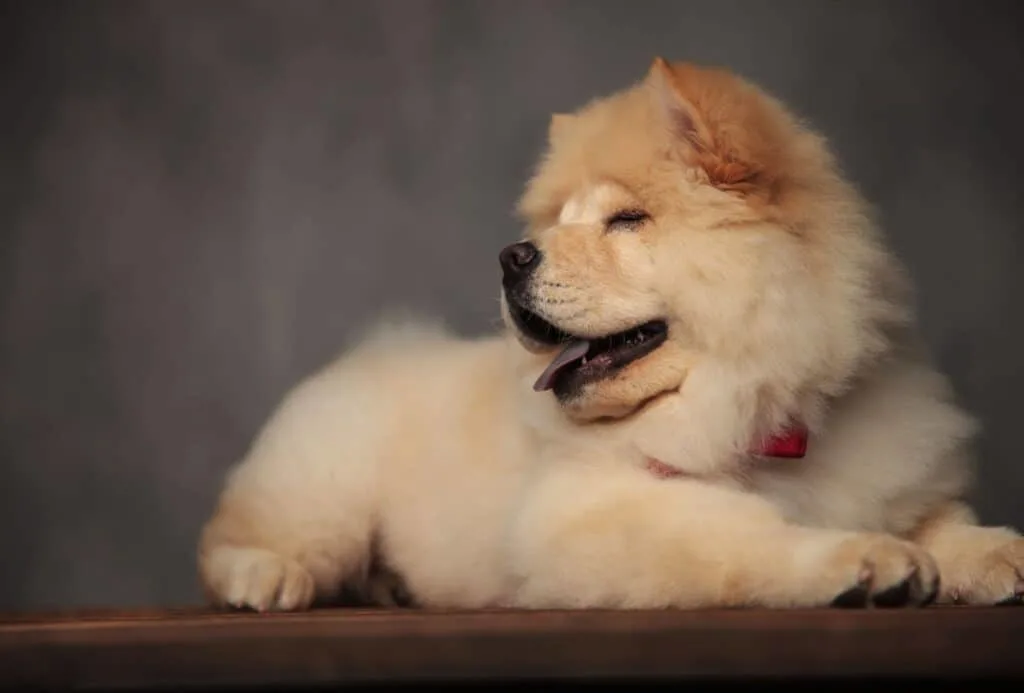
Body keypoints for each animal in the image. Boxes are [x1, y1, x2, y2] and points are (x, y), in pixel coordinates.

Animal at [195, 59, 1019, 610]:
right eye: (556, 224)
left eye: (626, 221)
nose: (511, 255)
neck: (760, 410)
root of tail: (374, 347)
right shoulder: (600, 513)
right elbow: (748, 536)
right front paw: (868, 561)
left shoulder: (901, 469)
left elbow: (946, 520)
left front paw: (997, 553)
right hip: (323, 494)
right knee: (234, 537)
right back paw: (266, 579)